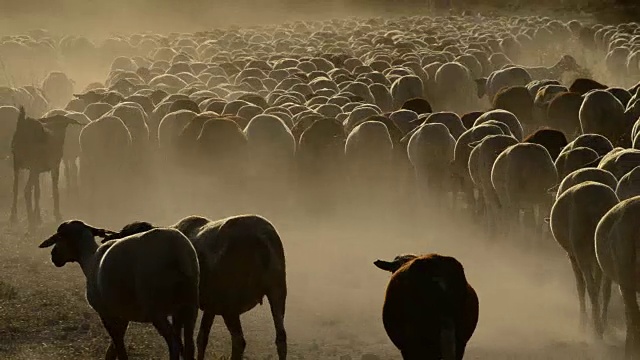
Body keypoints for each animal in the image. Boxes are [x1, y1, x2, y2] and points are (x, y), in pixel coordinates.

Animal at [38, 219, 199, 360]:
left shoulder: (106, 313)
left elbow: (118, 346)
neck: (89, 260)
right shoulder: (122, 315)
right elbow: (113, 349)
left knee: (174, 345)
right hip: (189, 306)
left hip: (156, 308)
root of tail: (177, 252)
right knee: (189, 347)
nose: (53, 256)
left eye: (59, 238)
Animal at [548, 183, 616, 338]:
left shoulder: (573, 256)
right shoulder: (595, 258)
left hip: (580, 250)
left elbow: (580, 286)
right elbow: (598, 284)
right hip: (603, 252)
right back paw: (602, 324)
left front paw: (584, 324)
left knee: (590, 287)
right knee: (605, 289)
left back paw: (596, 329)